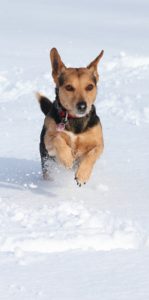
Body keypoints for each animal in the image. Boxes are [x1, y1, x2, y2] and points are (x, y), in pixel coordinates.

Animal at [36, 47, 104, 185]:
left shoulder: (100, 144)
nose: (82, 106)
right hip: (46, 161)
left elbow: (92, 153)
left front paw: (82, 174)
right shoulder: (48, 142)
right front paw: (67, 158)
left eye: (90, 87)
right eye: (69, 87)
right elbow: (57, 138)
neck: (75, 120)